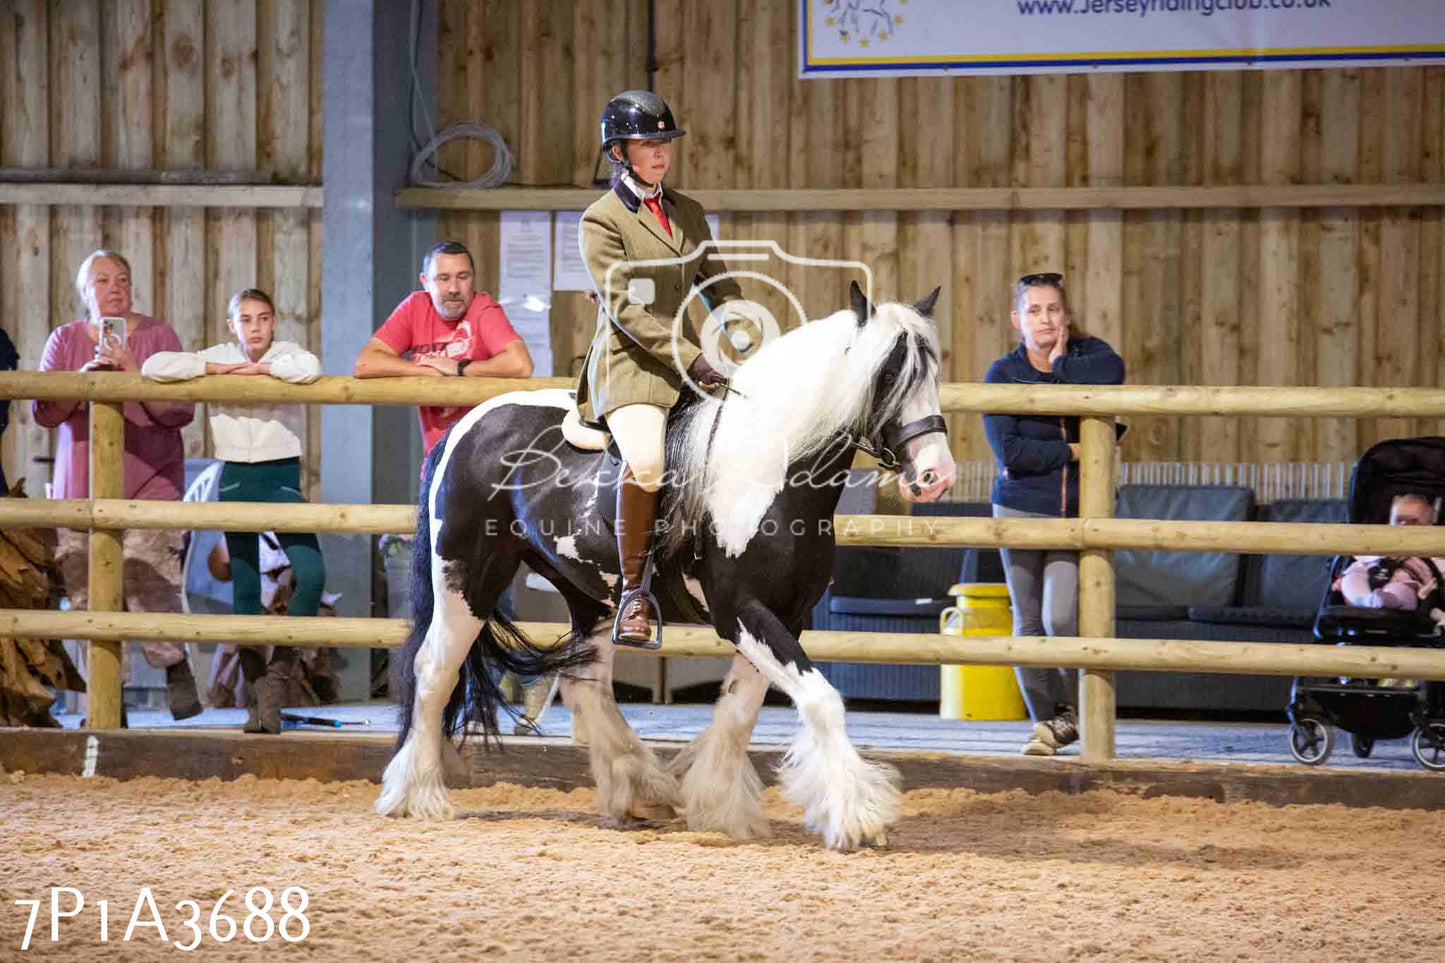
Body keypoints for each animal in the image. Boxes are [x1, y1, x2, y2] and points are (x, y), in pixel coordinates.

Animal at [378, 281, 953, 844]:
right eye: (888, 375)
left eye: (934, 371)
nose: (935, 476)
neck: (770, 471)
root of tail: (467, 425)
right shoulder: (741, 611)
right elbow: (820, 700)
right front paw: (858, 816)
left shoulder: (787, 616)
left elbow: (739, 711)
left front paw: (717, 804)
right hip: (466, 579)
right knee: (434, 671)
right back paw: (418, 795)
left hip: (591, 593)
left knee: (585, 684)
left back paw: (641, 790)